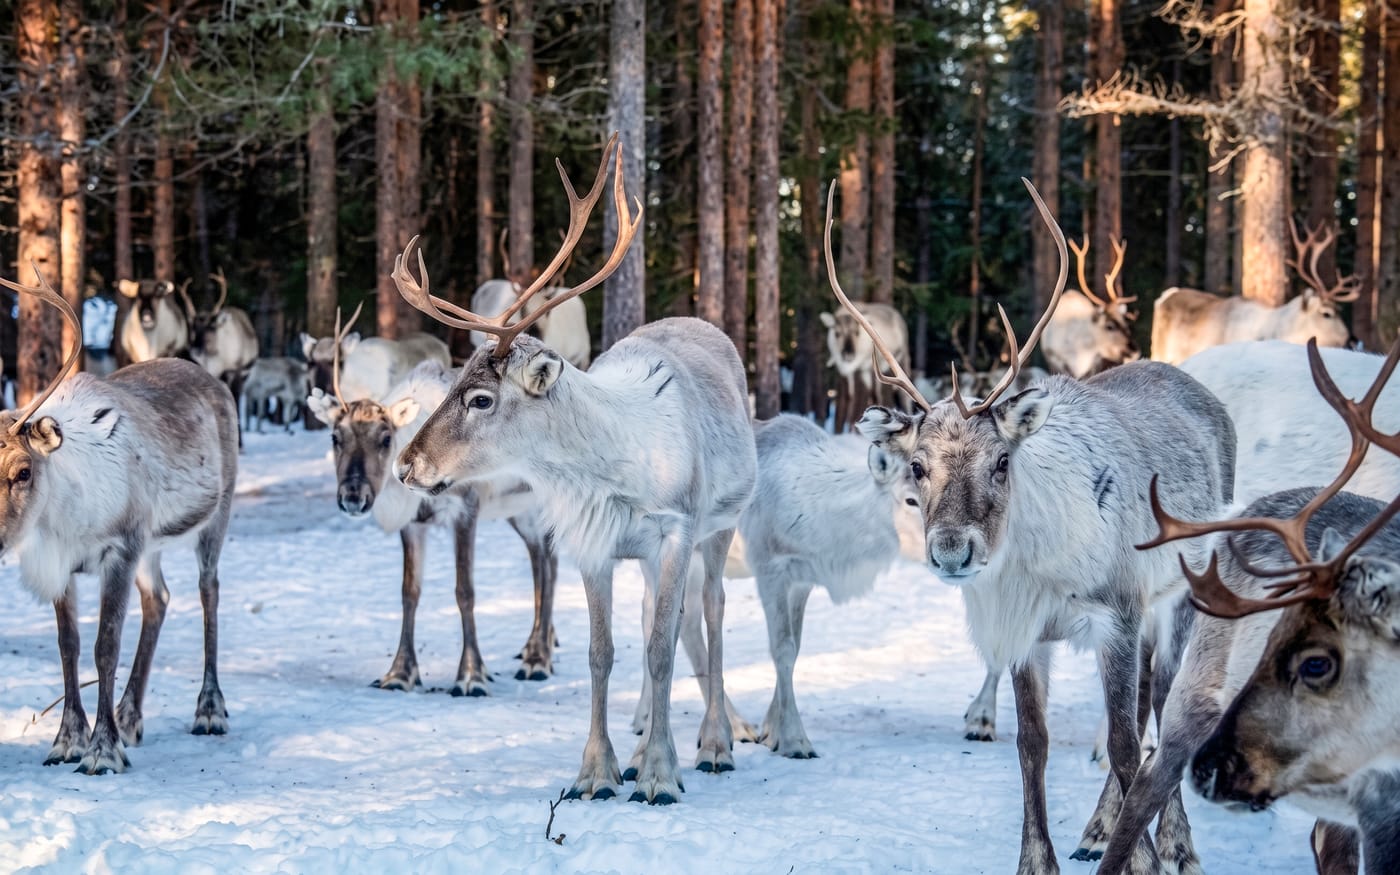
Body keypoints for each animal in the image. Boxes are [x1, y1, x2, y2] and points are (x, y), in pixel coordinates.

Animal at [0, 265, 237, 775]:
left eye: (23, 471)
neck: (60, 517)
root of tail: (212, 378)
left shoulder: (121, 550)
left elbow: (105, 645)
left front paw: (102, 751)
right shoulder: (65, 566)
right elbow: (68, 645)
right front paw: (68, 740)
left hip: (217, 514)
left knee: (209, 590)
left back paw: (209, 710)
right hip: (153, 545)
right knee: (160, 599)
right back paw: (131, 717)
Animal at [307, 305, 559, 691]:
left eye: (385, 438)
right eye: (335, 437)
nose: (353, 497)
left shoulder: (466, 509)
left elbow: (465, 591)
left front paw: (471, 675)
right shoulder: (413, 523)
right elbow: (408, 592)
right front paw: (400, 673)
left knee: (550, 564)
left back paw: (539, 659)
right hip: (518, 511)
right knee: (539, 560)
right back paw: (535, 646)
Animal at [391, 133, 757, 805]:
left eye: (480, 398)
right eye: (453, 379)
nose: (406, 464)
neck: (612, 469)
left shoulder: (676, 531)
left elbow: (662, 649)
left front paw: (661, 775)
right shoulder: (593, 543)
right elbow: (601, 651)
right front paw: (599, 772)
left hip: (721, 527)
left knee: (714, 611)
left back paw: (715, 745)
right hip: (644, 558)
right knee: (656, 619)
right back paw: (641, 750)